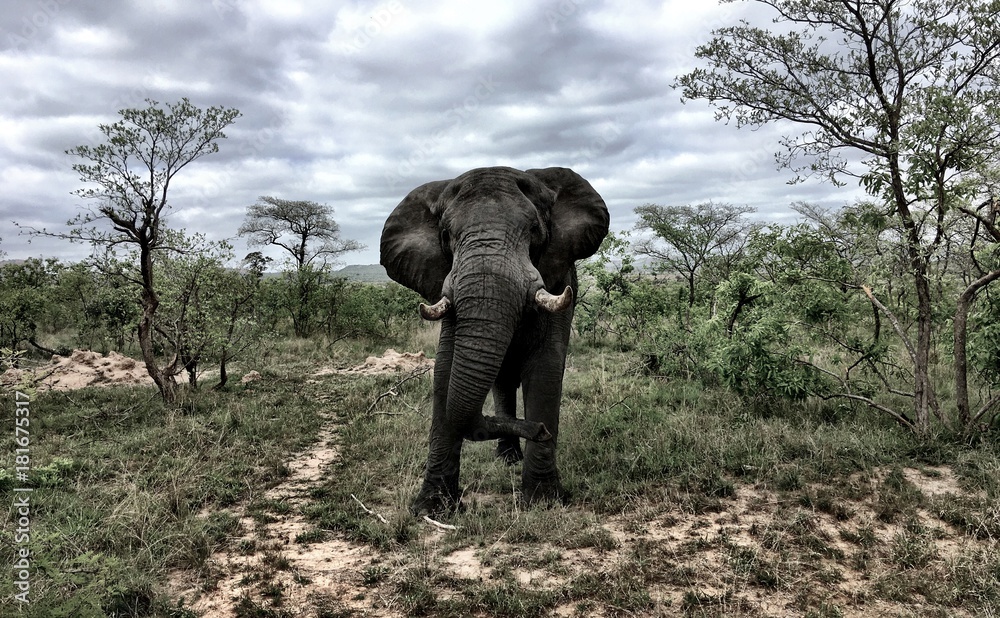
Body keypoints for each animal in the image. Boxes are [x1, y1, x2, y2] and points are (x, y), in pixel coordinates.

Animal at [380, 166, 609, 515]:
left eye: (533, 230)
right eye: (445, 235)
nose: (540, 431)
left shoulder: (557, 279)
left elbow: (545, 371)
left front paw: (543, 503)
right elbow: (445, 373)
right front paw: (431, 508)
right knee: (502, 381)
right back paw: (508, 457)